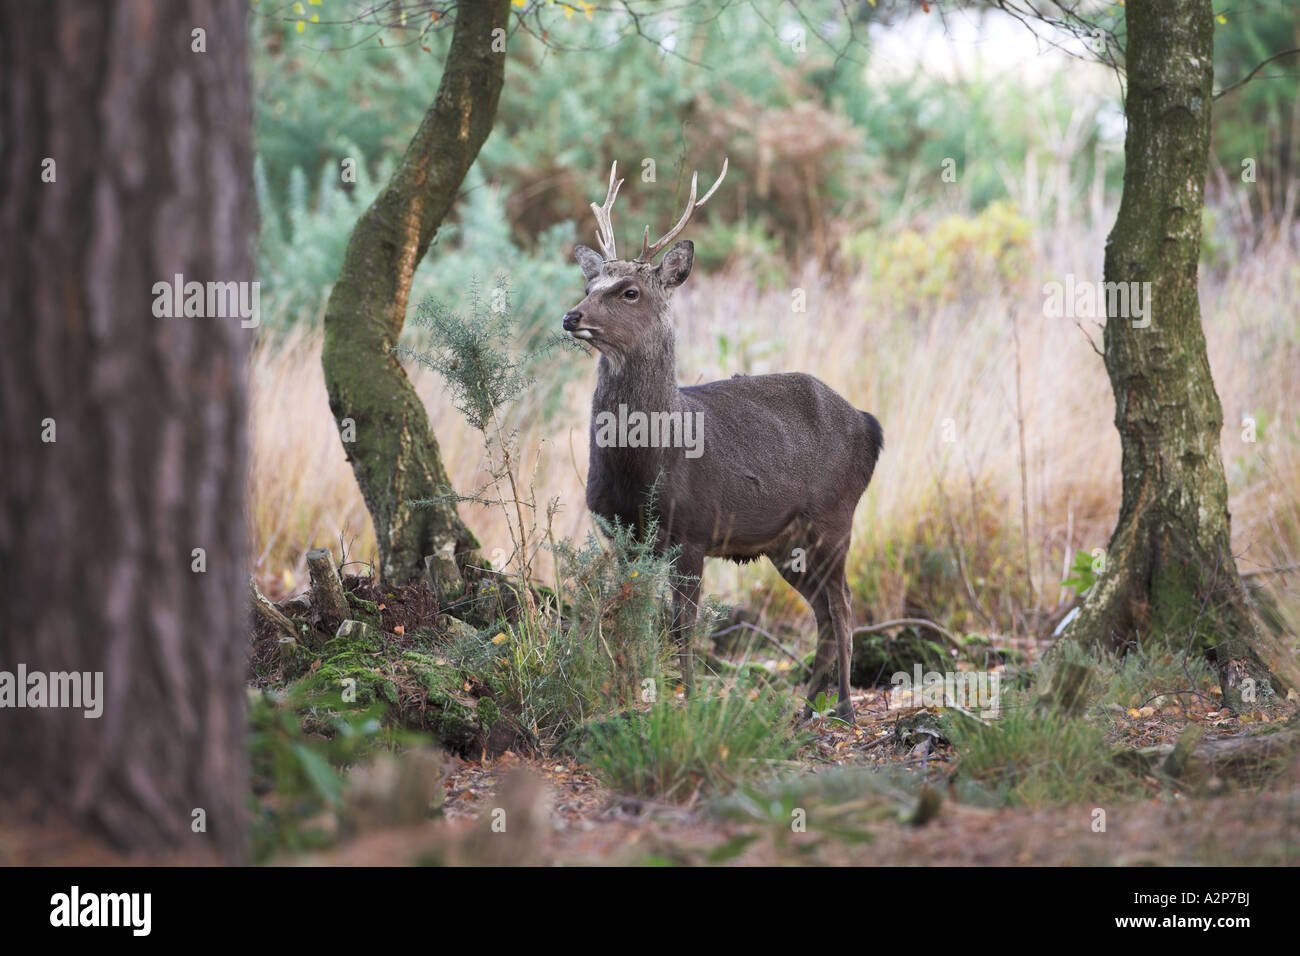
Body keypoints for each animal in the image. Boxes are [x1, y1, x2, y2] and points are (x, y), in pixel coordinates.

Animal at [561, 162, 883, 717]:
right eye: (588, 282)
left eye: (629, 291)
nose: (572, 316)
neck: (648, 458)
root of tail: (869, 423)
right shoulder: (622, 535)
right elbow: (626, 621)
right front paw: (627, 696)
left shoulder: (692, 530)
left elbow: (682, 630)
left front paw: (688, 704)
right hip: (786, 543)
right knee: (822, 612)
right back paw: (805, 709)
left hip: (835, 517)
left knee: (844, 606)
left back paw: (843, 706)